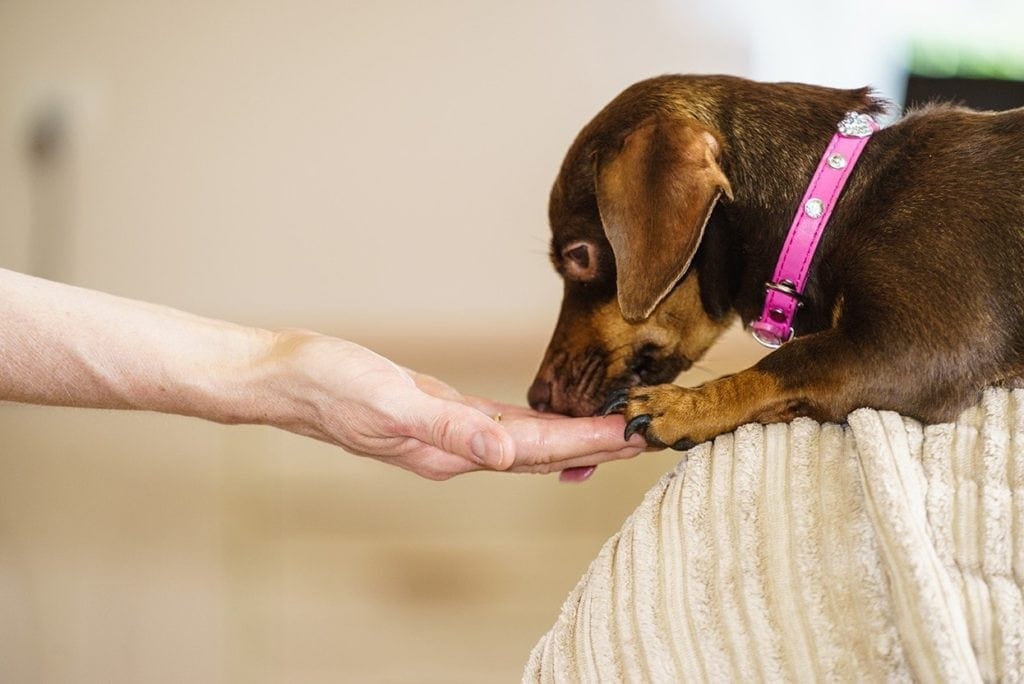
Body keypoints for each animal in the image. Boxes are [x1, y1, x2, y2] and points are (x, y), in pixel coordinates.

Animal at [528, 76, 1024, 448]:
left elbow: (790, 361)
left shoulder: (922, 346)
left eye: (578, 256)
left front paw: (685, 405)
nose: (537, 399)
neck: (838, 200)